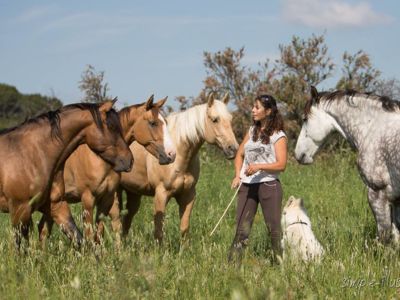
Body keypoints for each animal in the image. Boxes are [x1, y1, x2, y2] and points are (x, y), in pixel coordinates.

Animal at [0, 99, 133, 247]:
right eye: (111, 127)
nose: (129, 160)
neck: (32, 154)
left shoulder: (56, 205)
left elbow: (79, 238)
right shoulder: (20, 209)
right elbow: (20, 246)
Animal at [38, 95, 177, 243]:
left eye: (165, 122)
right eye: (152, 123)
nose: (171, 154)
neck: (100, 159)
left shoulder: (106, 198)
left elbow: (99, 233)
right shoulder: (88, 199)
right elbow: (89, 233)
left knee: (43, 228)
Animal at [109, 92, 239, 243]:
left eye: (230, 119)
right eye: (215, 120)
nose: (233, 149)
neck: (179, 155)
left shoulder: (188, 195)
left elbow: (184, 229)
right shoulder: (161, 194)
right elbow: (159, 231)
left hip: (133, 192)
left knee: (127, 219)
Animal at [294, 85, 400, 245]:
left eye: (305, 119)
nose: (298, 154)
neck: (374, 128)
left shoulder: (377, 193)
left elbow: (384, 236)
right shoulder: (396, 199)